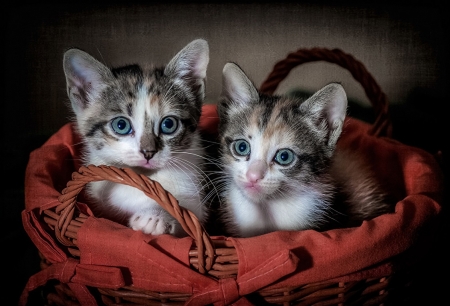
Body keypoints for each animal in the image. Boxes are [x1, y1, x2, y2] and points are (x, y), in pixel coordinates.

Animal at [62, 38, 210, 237]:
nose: (148, 152)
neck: (145, 178)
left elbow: (188, 217)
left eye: (168, 124)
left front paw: (155, 215)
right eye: (121, 125)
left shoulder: (196, 199)